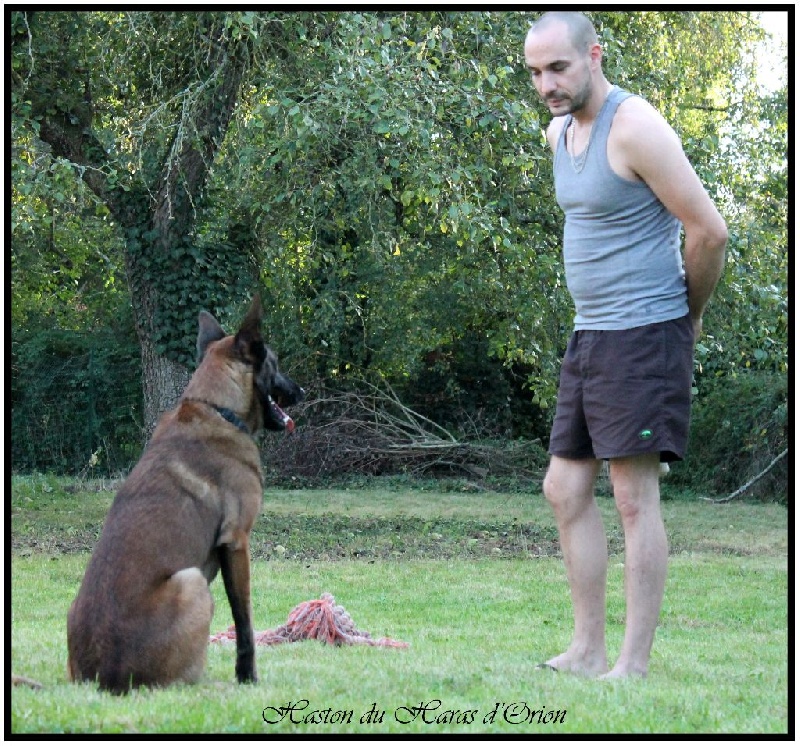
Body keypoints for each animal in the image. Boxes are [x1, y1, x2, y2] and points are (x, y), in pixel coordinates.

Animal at [67, 295, 303, 694]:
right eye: (275, 363)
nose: (301, 392)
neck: (217, 408)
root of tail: (101, 681)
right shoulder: (236, 542)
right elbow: (245, 624)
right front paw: (247, 677)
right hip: (191, 582)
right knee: (180, 683)